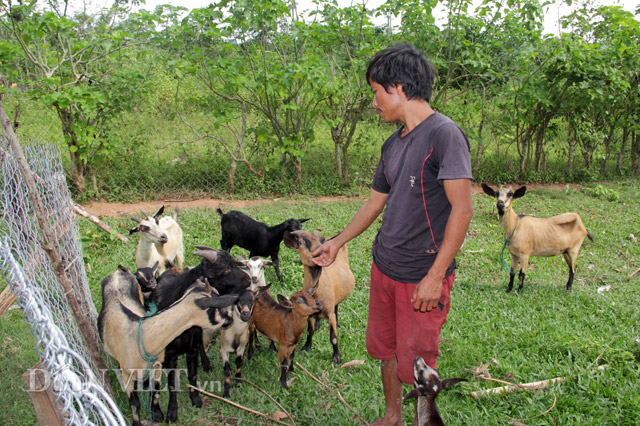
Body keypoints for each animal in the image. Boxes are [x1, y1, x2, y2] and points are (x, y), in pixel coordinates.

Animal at [99, 264, 239, 424]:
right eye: (218, 308)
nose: (231, 320)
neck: (142, 337)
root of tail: (118, 271)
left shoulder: (159, 363)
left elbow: (158, 389)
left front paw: (157, 414)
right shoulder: (130, 371)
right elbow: (135, 402)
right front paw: (149, 418)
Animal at [151, 246, 249, 422]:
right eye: (225, 270)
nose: (249, 279)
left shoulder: (191, 349)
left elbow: (192, 375)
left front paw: (196, 399)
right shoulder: (170, 355)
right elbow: (171, 384)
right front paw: (171, 412)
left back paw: (206, 363)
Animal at [284, 230, 356, 362]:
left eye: (320, 241)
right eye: (301, 242)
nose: (321, 254)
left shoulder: (329, 313)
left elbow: (333, 337)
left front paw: (337, 357)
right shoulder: (310, 314)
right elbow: (309, 331)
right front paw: (306, 347)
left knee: (336, 307)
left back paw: (337, 322)